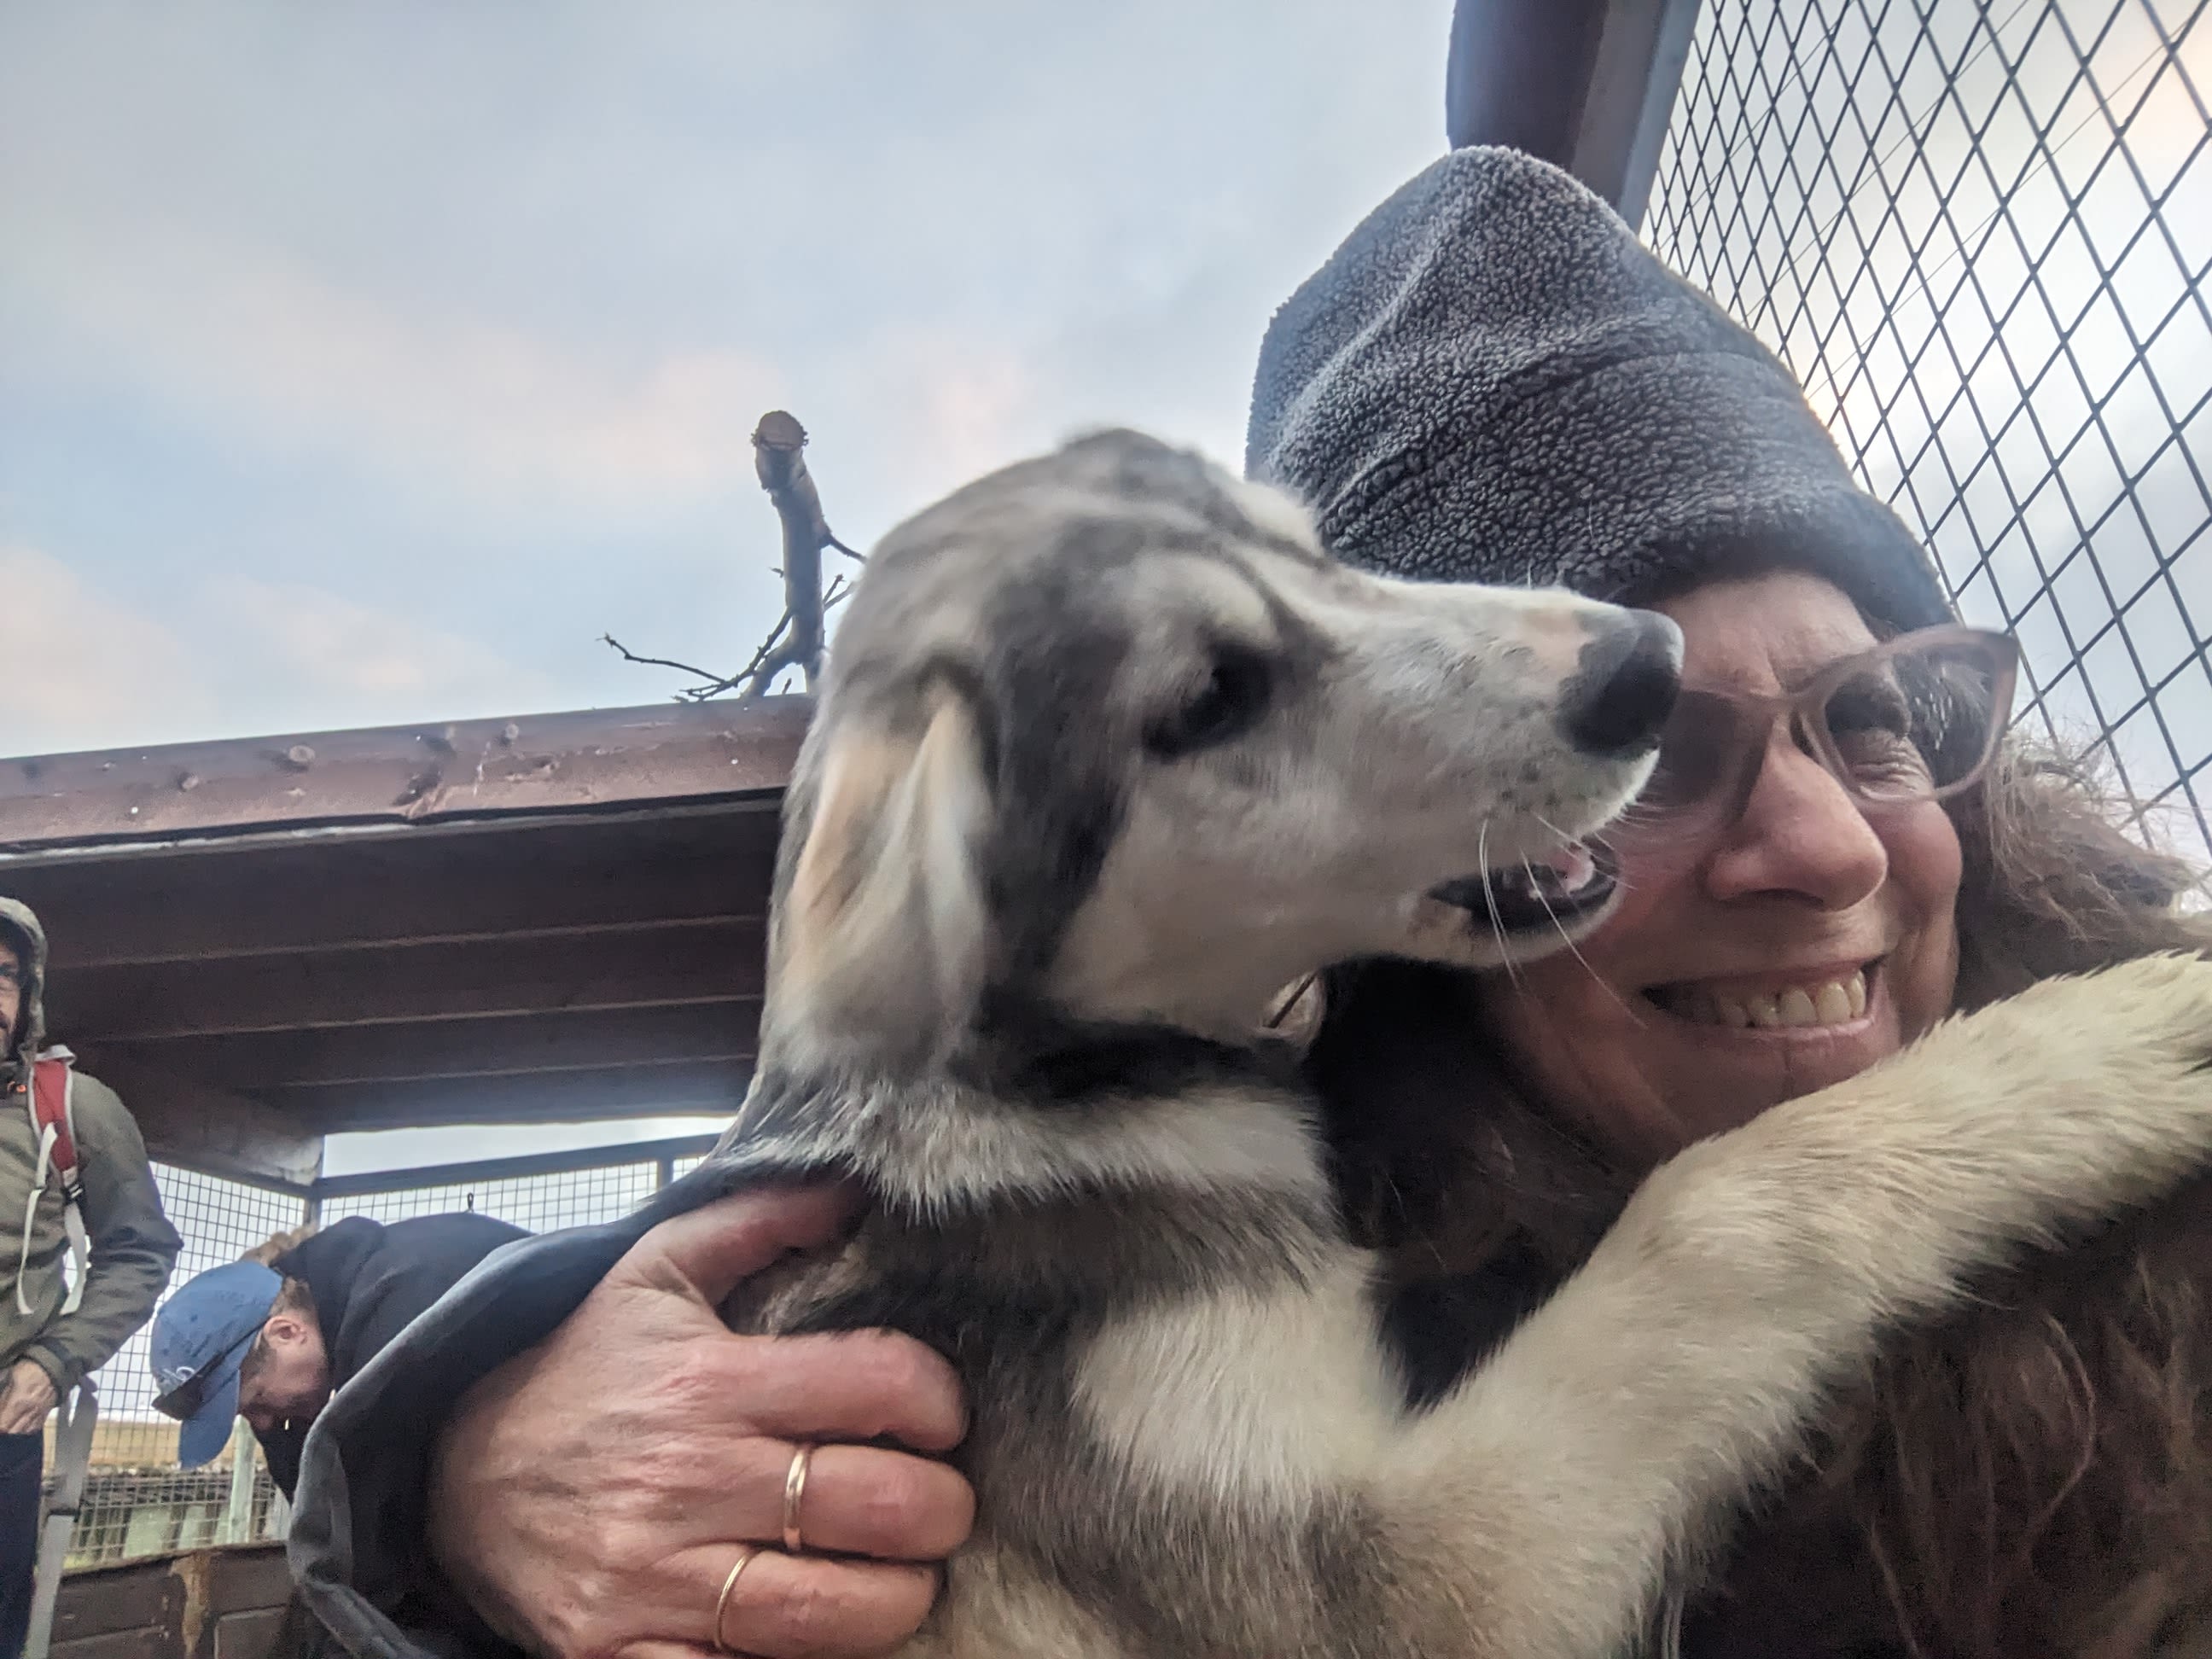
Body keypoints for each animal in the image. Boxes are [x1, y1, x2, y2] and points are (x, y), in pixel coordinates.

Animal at [716, 431, 2212, 1659]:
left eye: (1321, 555)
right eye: (1209, 698)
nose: (1645, 667)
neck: (1075, 1083)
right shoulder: (1380, 1592)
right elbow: (1720, 1207)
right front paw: (2109, 1045)